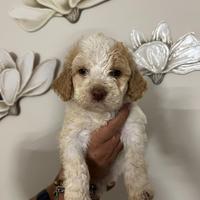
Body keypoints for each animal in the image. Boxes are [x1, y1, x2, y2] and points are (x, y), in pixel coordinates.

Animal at [52, 33, 153, 199]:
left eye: (115, 72)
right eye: (82, 71)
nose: (98, 92)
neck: (99, 114)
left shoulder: (133, 128)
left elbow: (135, 162)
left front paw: (140, 189)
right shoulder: (72, 136)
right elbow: (76, 167)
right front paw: (76, 194)